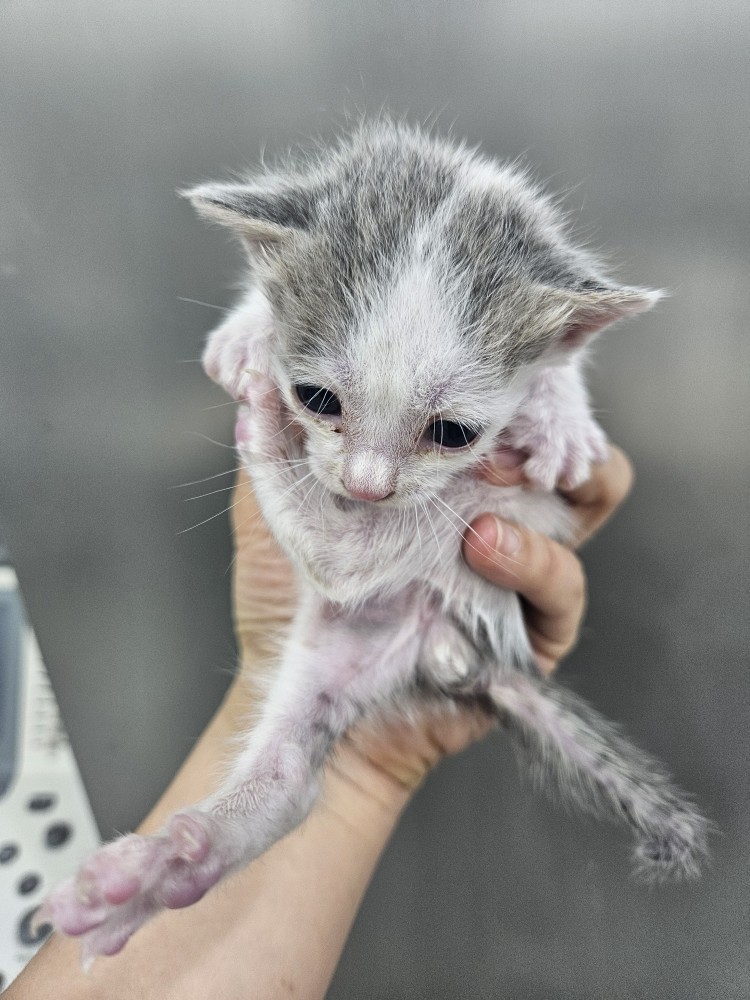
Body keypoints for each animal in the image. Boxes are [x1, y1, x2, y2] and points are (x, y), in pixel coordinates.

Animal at [41, 121, 712, 964]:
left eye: (453, 432)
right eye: (317, 398)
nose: (366, 487)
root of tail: (459, 649)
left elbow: (563, 363)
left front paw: (562, 413)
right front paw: (245, 333)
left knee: (341, 581)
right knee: (292, 764)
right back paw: (160, 870)